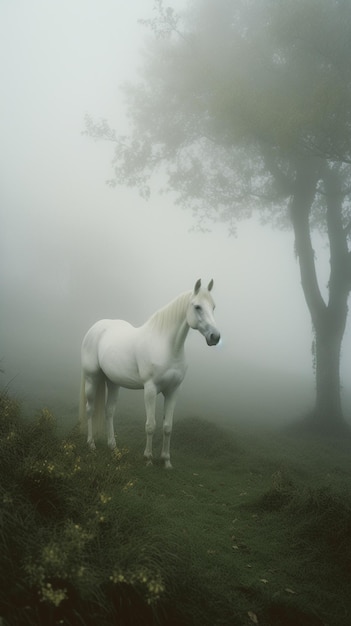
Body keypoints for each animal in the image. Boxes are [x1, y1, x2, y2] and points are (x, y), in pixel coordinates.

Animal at [81, 276, 221, 464]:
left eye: (213, 307)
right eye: (197, 306)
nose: (215, 337)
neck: (167, 346)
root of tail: (95, 328)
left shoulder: (173, 391)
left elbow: (168, 426)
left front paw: (166, 460)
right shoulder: (150, 389)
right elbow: (150, 425)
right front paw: (148, 458)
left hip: (113, 382)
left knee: (109, 411)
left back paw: (113, 447)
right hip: (92, 378)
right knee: (90, 409)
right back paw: (91, 444)